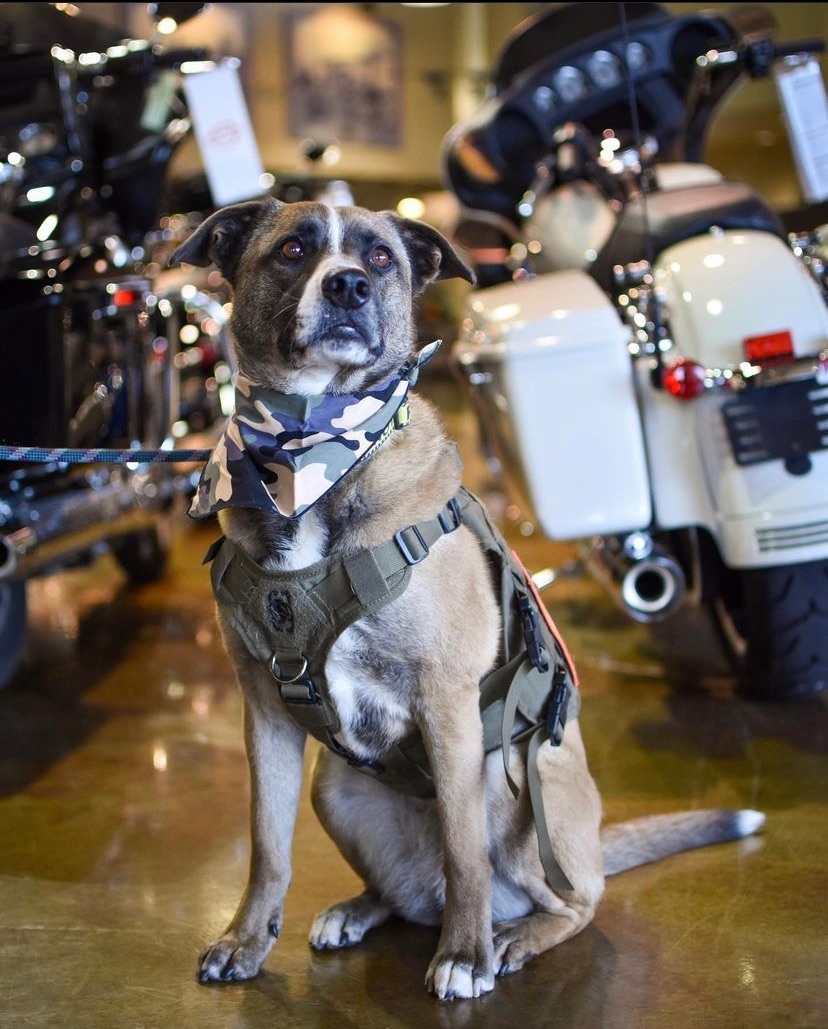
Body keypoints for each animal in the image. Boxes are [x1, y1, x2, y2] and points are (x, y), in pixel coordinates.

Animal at [170, 196, 765, 1000]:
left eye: (380, 257)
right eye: (292, 249)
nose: (349, 287)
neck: (312, 458)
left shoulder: (446, 703)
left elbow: (463, 850)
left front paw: (464, 955)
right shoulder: (263, 708)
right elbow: (267, 843)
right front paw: (245, 938)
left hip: (516, 792)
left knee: (571, 900)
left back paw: (513, 935)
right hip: (335, 790)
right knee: (405, 894)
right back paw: (362, 909)